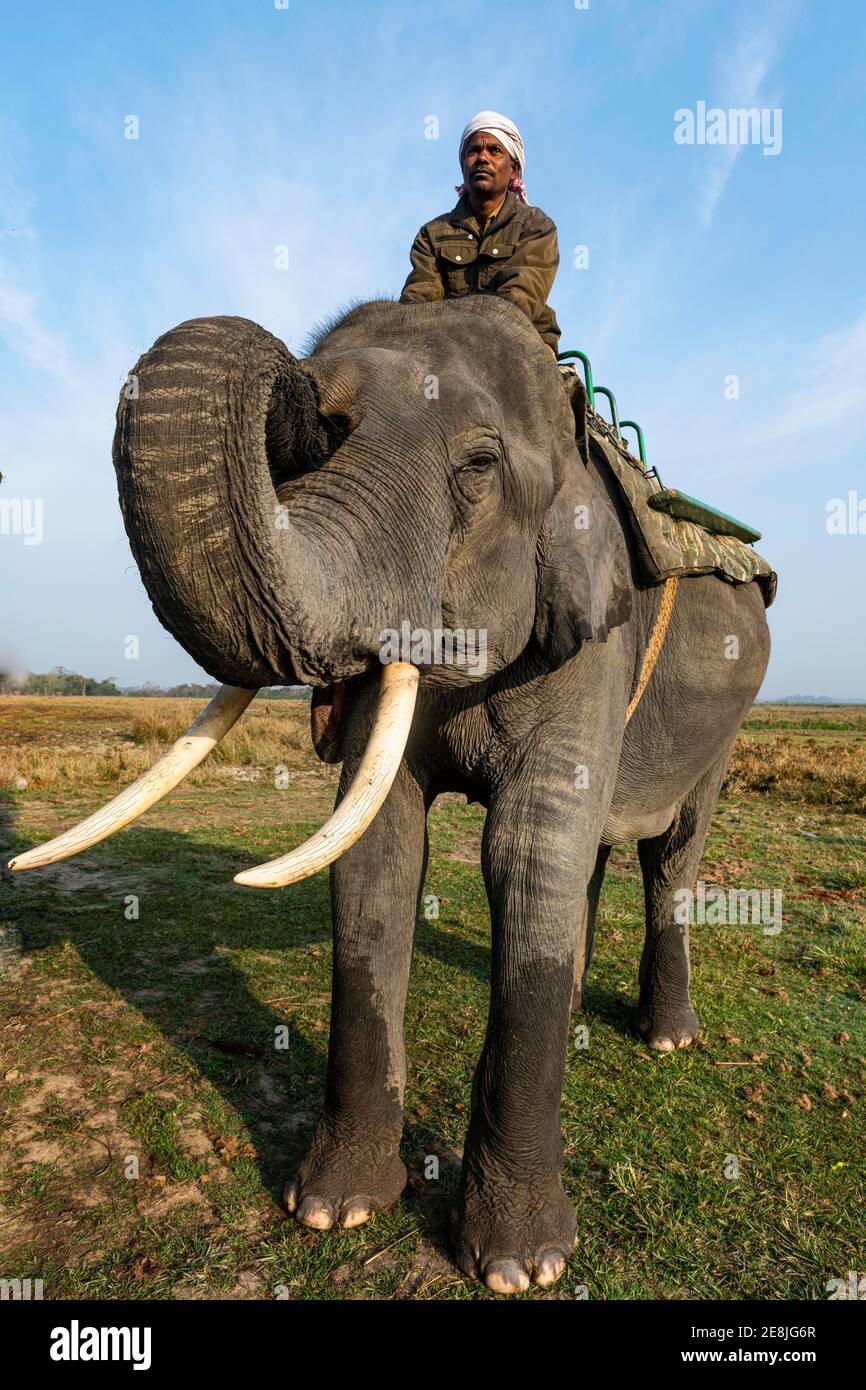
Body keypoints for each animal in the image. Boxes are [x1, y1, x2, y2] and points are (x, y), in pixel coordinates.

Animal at [10, 294, 771, 1294]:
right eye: (306, 450)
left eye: (479, 467)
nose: (305, 391)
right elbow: (378, 848)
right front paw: (332, 1209)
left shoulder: (591, 628)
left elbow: (524, 851)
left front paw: (519, 1266)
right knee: (594, 855)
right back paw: (576, 1011)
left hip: (727, 717)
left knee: (668, 852)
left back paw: (668, 1038)